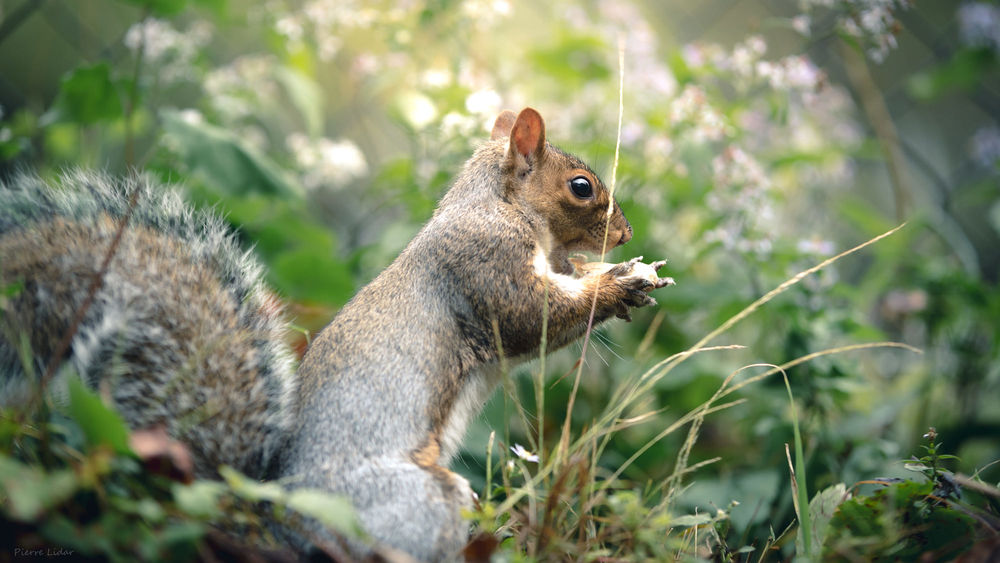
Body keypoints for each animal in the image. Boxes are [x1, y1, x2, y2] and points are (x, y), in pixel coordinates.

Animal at [1, 108, 672, 560]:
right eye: (581, 186)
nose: (627, 235)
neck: (496, 206)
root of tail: (275, 518)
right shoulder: (484, 263)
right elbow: (532, 317)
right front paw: (619, 285)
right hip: (417, 501)